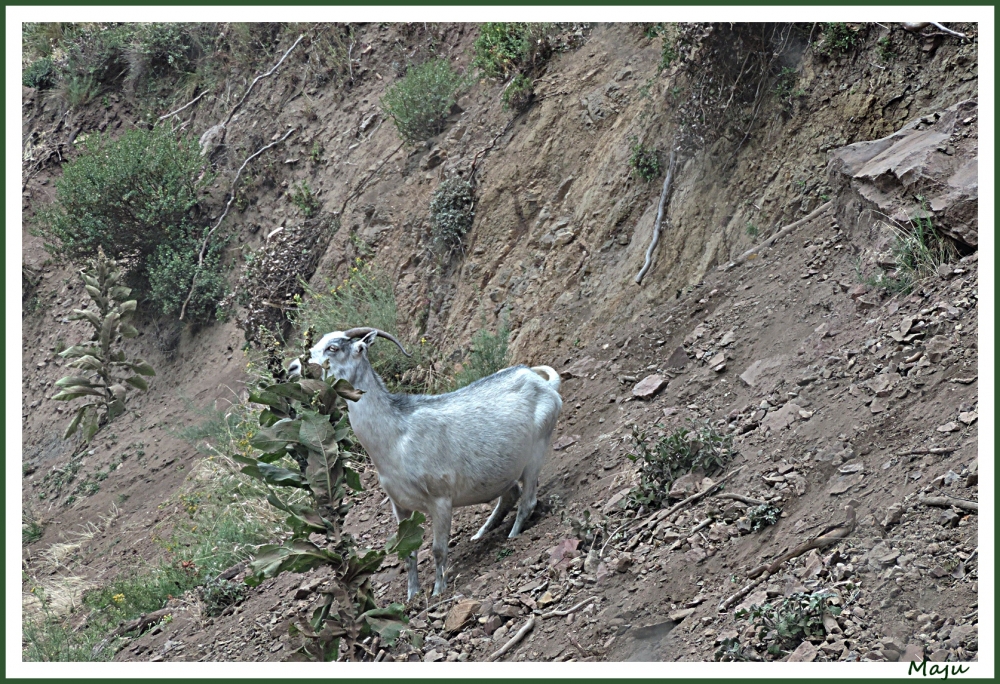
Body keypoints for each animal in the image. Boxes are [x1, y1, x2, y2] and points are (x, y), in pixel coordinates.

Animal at [290, 328, 564, 600]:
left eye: (333, 348)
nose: (293, 367)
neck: (397, 438)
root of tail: (542, 382)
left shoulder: (440, 499)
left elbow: (438, 549)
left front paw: (437, 591)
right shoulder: (399, 505)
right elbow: (408, 553)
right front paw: (412, 594)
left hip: (537, 451)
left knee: (527, 501)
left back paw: (513, 535)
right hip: (504, 468)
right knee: (510, 494)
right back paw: (481, 533)